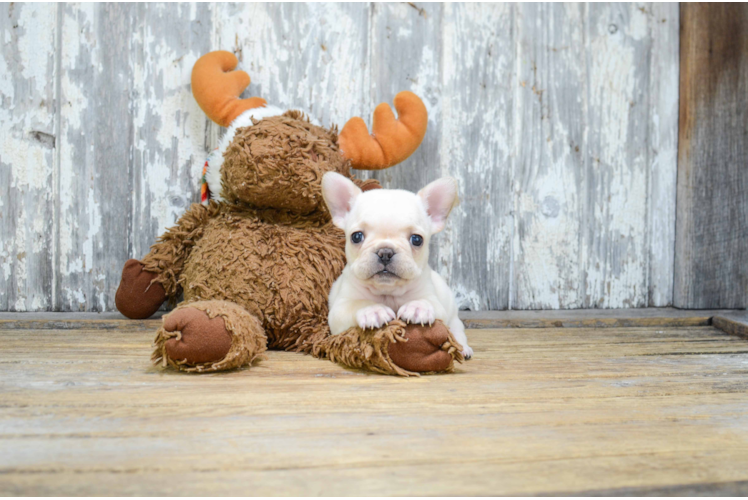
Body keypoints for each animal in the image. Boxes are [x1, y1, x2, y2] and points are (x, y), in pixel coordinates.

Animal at [322, 173, 474, 360]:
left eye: (417, 239)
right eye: (356, 237)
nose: (385, 252)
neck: (388, 293)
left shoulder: (435, 302)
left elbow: (427, 302)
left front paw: (417, 307)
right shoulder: (339, 310)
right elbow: (357, 304)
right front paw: (372, 310)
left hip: (453, 318)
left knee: (457, 330)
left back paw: (463, 349)